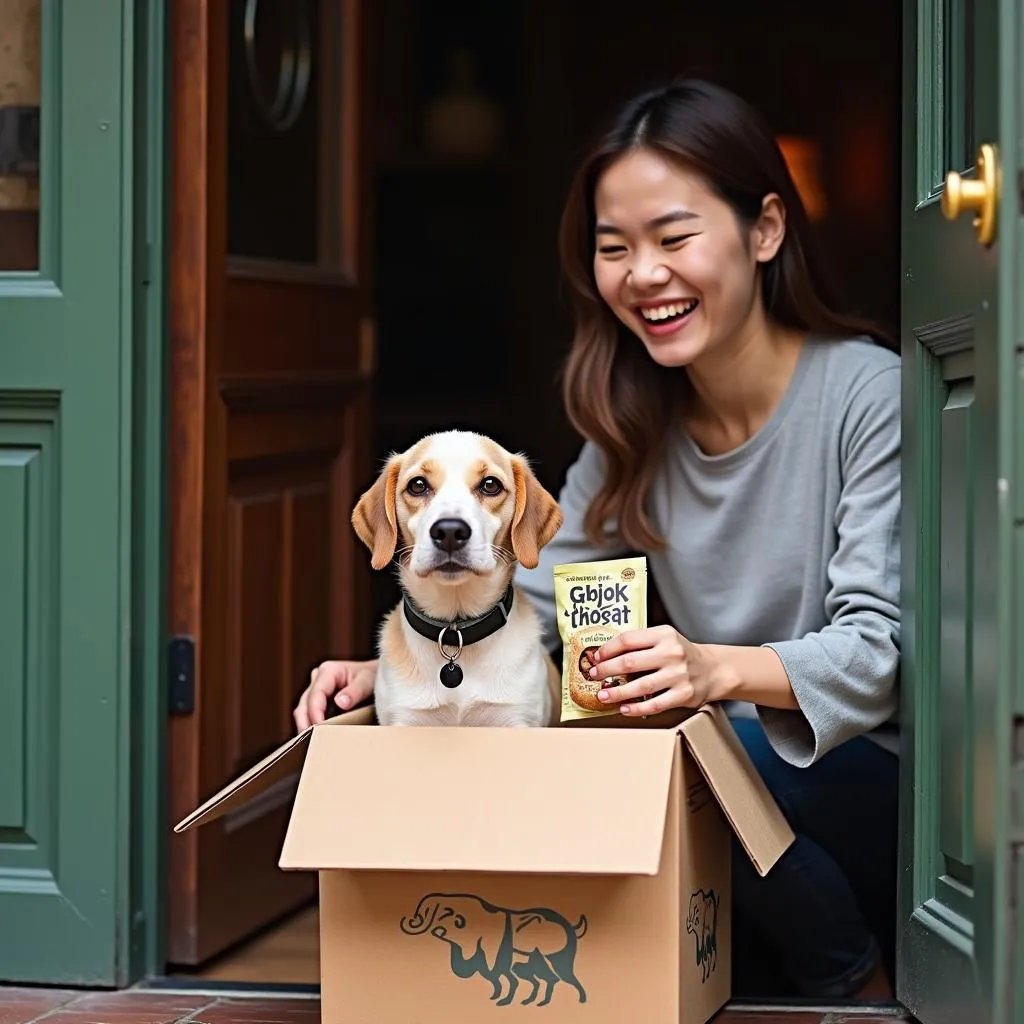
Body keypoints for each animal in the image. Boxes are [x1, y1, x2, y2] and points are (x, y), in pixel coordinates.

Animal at [350, 430, 561, 729]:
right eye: (417, 485)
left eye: (490, 485)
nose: (449, 531)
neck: (456, 631)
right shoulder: (404, 721)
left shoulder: (516, 721)